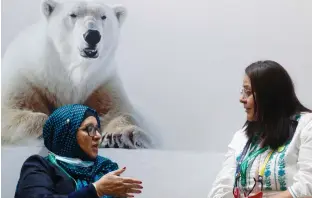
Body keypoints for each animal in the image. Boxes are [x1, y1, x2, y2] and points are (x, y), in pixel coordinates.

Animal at [1, 0, 153, 149]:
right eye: (73, 14)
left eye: (104, 16)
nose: (92, 35)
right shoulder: (29, 79)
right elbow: (8, 109)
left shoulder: (101, 83)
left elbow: (120, 111)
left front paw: (119, 136)